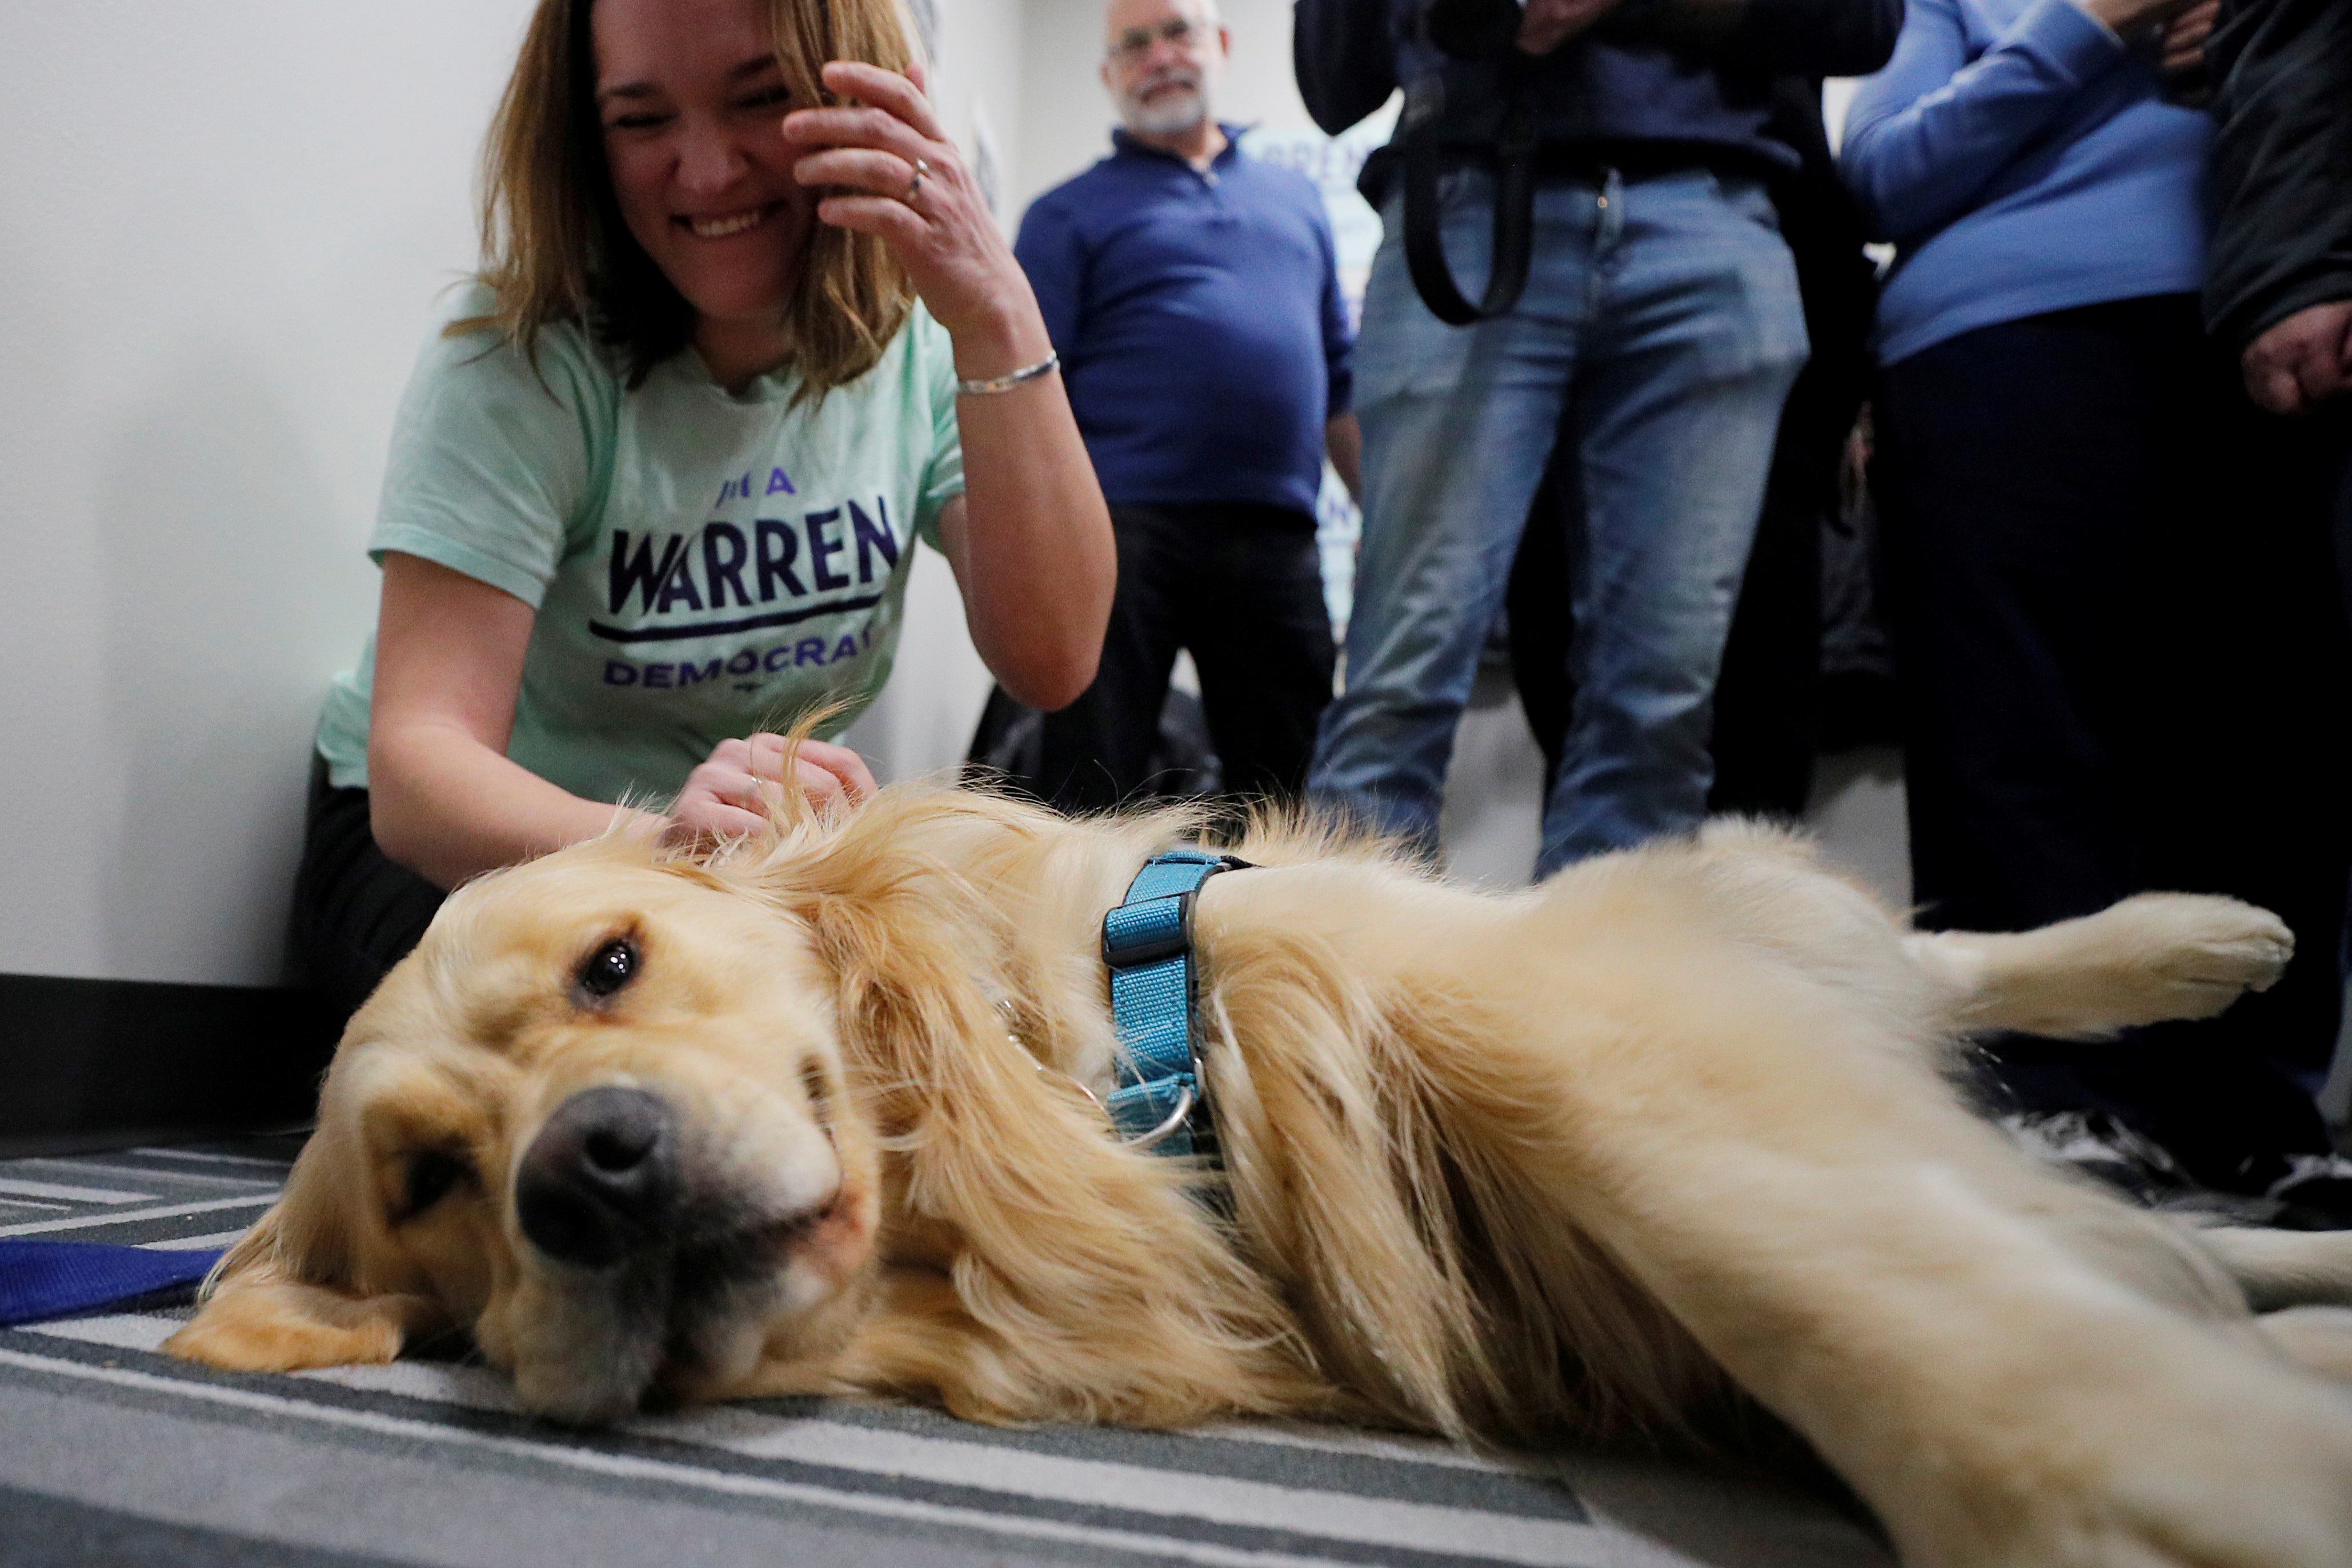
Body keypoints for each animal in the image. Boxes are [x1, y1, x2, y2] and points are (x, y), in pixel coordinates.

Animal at [174, 789, 2352, 1568]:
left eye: (612, 966)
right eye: (432, 1178)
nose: (590, 1177)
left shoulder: (1537, 1018)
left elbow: (1795, 1260)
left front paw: (2123, 1492)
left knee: (1911, 968)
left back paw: (2201, 940)